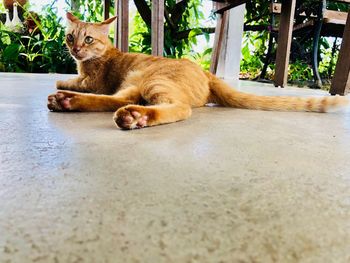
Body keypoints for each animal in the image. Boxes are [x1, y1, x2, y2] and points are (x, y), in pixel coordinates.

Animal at [47, 12, 348, 130]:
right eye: (70, 37)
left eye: (88, 39)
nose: (75, 50)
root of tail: (206, 72)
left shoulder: (91, 82)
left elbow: (69, 80)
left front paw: (62, 81)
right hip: (134, 82)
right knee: (118, 100)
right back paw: (66, 102)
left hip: (152, 82)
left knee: (178, 108)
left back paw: (135, 116)